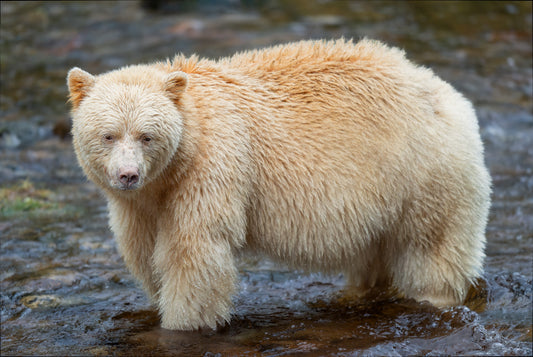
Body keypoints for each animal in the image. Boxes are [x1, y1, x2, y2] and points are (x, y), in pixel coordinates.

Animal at [66, 37, 490, 330]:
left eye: (146, 136)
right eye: (108, 135)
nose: (128, 175)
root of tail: (449, 96)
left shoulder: (213, 169)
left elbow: (196, 253)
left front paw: (182, 324)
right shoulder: (141, 205)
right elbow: (145, 251)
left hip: (425, 176)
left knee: (431, 251)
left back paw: (434, 298)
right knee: (373, 256)